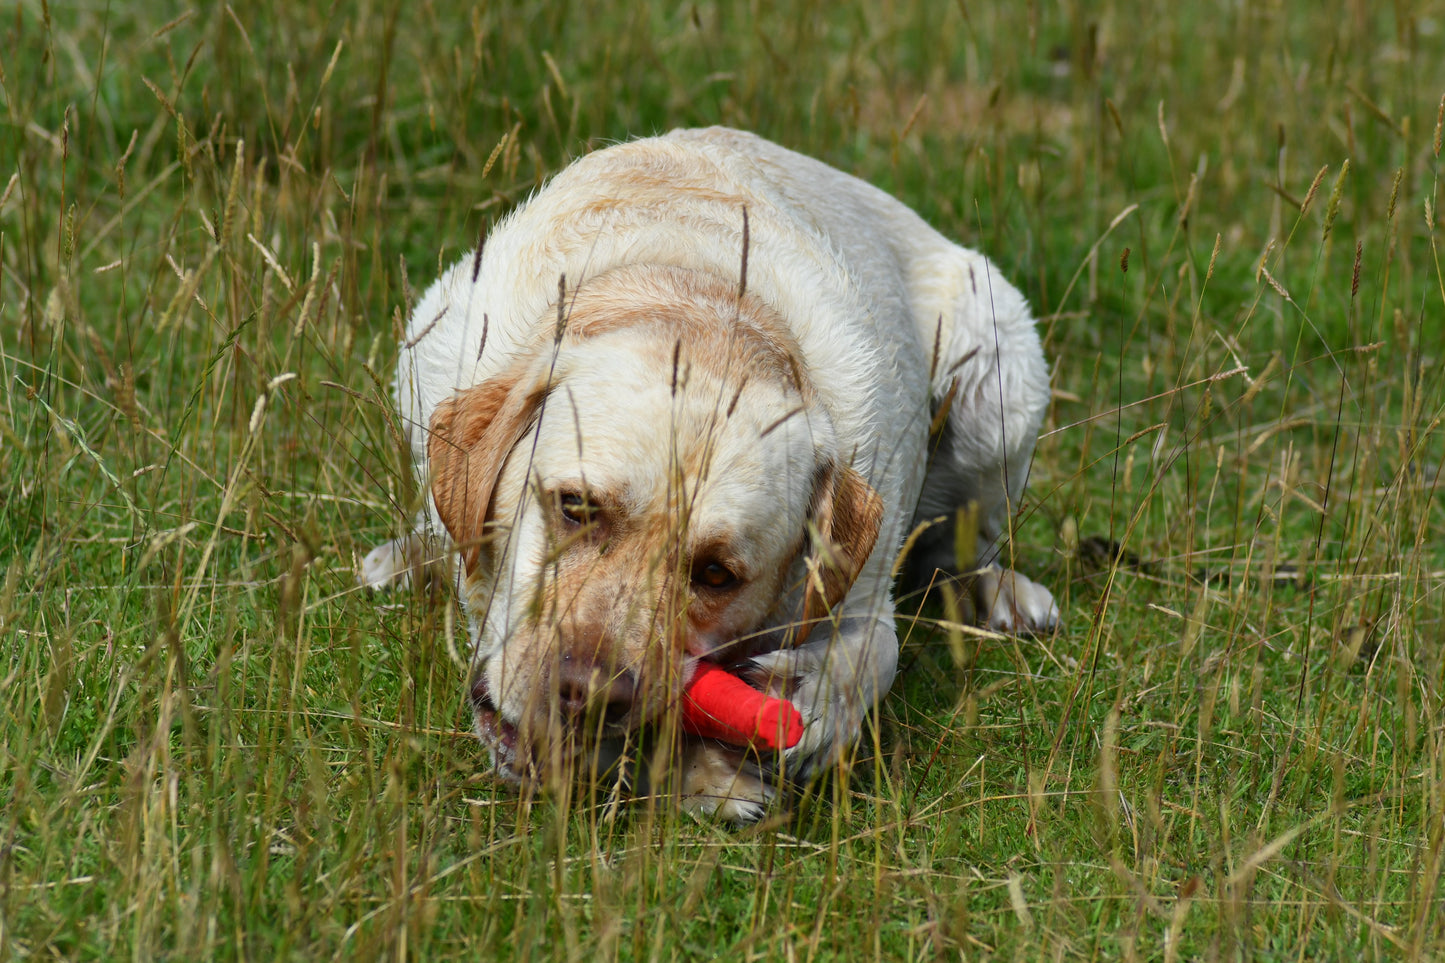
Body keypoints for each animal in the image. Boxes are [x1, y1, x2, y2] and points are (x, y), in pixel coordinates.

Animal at [361, 125, 1063, 815]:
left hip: (1001, 379)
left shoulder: (863, 584)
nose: (589, 696)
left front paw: (803, 704)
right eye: (575, 507)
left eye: (717, 575)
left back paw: (1003, 593)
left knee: (967, 540)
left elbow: (876, 653)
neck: (700, 299)